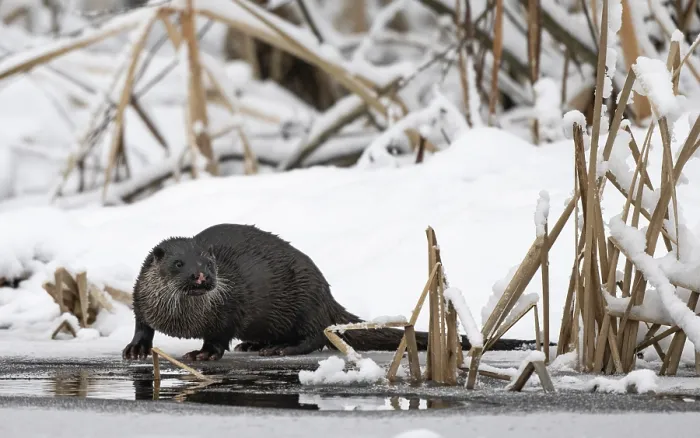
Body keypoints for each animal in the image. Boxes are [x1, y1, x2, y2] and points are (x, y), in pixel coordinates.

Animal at [122, 223, 540, 361]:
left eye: (209, 263)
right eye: (179, 263)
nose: (200, 278)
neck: (180, 319)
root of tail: (325, 292)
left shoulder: (228, 310)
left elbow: (218, 336)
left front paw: (204, 354)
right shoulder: (141, 298)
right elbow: (142, 324)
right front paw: (136, 349)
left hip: (305, 303)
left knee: (315, 337)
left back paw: (280, 349)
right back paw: (254, 345)